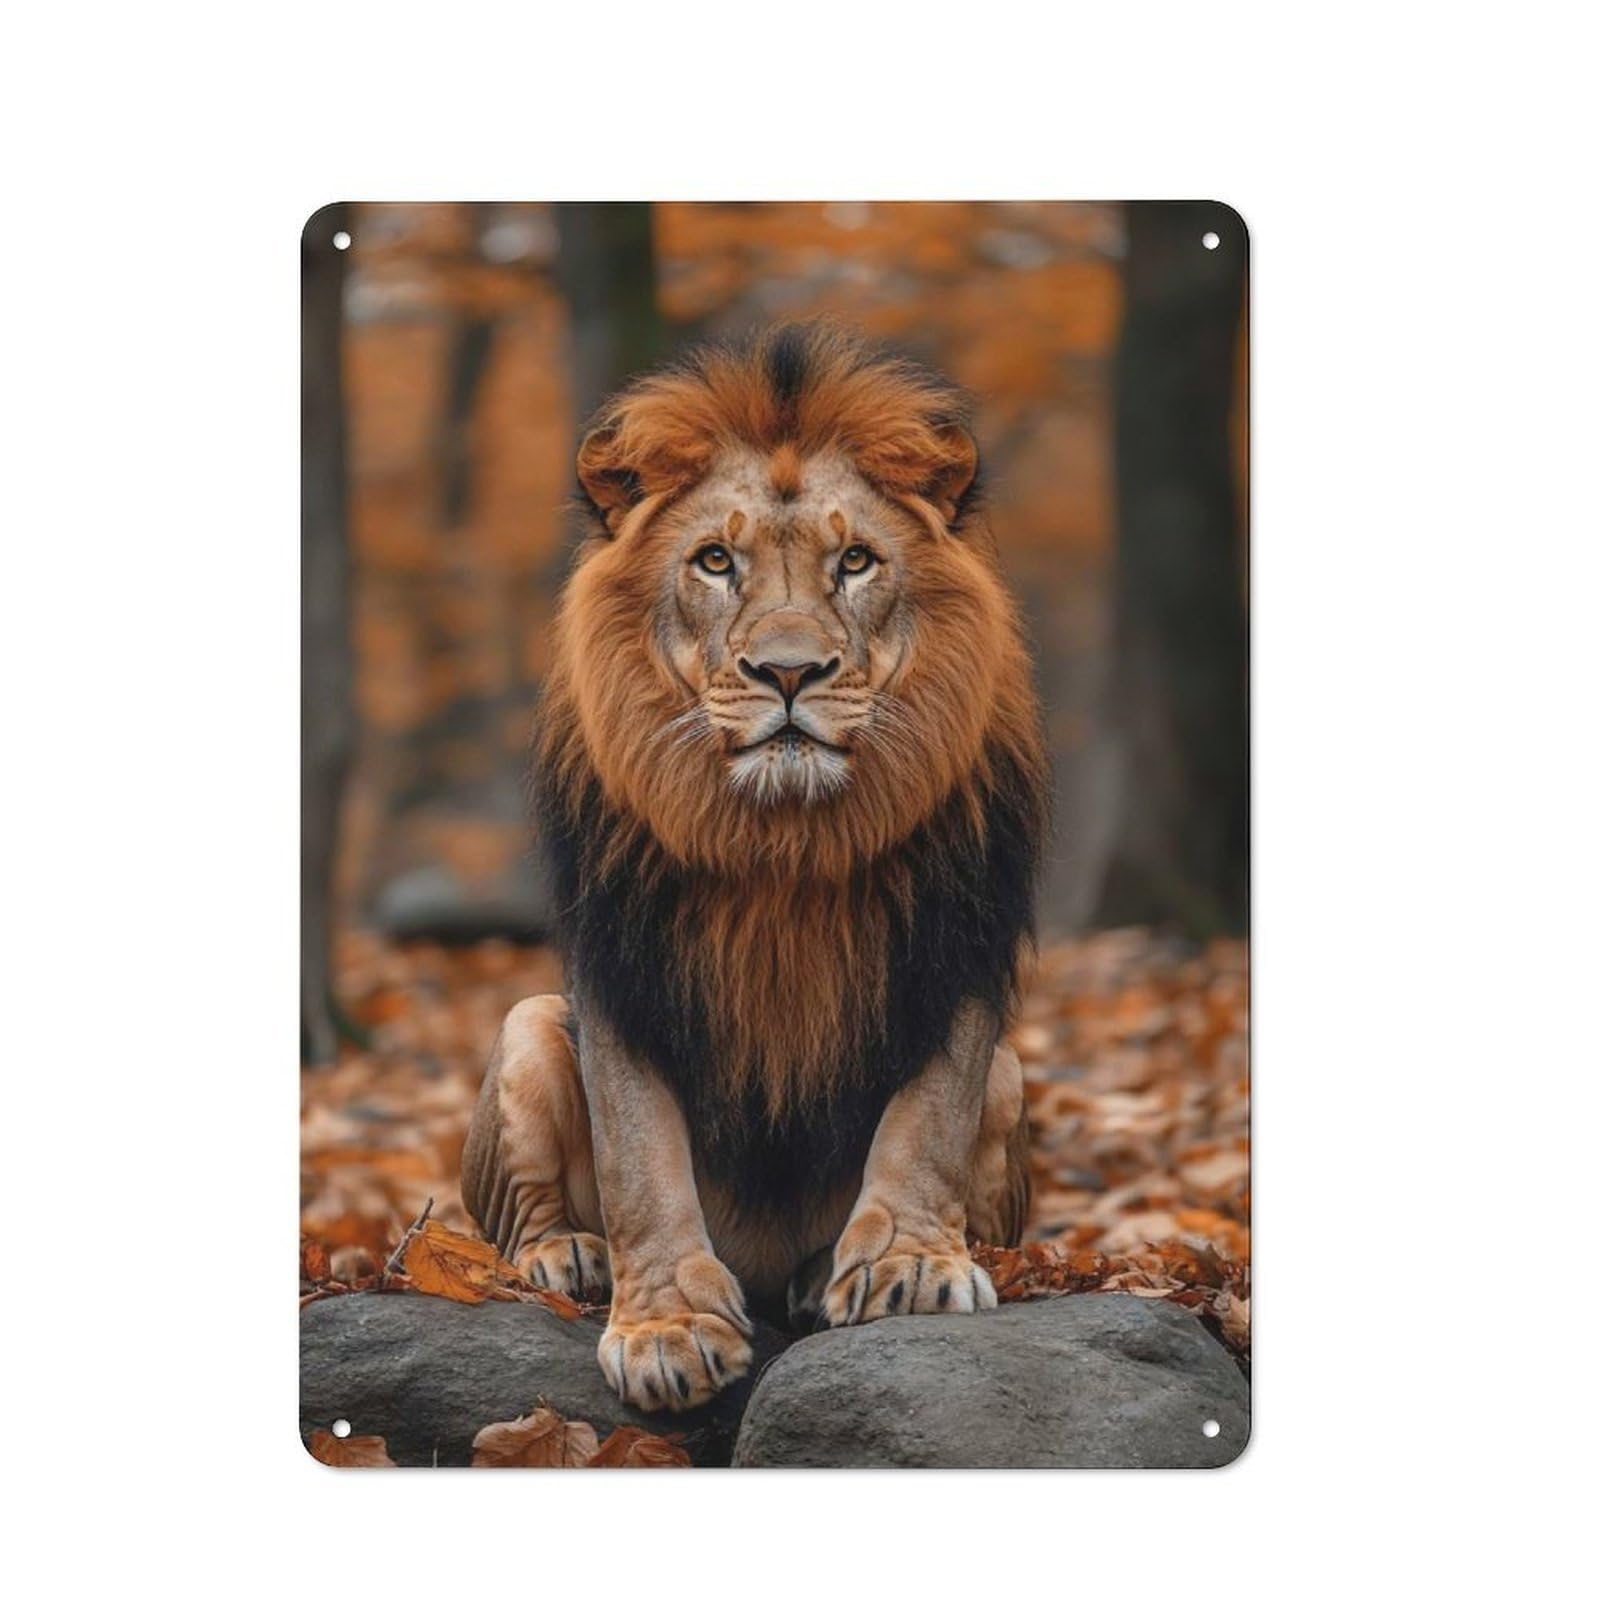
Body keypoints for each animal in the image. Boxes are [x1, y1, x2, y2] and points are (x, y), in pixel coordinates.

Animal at [462, 322, 1048, 1412]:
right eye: (714, 561)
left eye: (855, 560)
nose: (787, 672)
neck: (784, 841)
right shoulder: (624, 963)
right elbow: (640, 1159)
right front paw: (665, 1327)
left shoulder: (954, 948)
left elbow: (926, 1122)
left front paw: (905, 1265)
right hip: (526, 1026)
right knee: (519, 1215)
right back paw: (568, 1254)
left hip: (1013, 1072)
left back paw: (826, 1274)